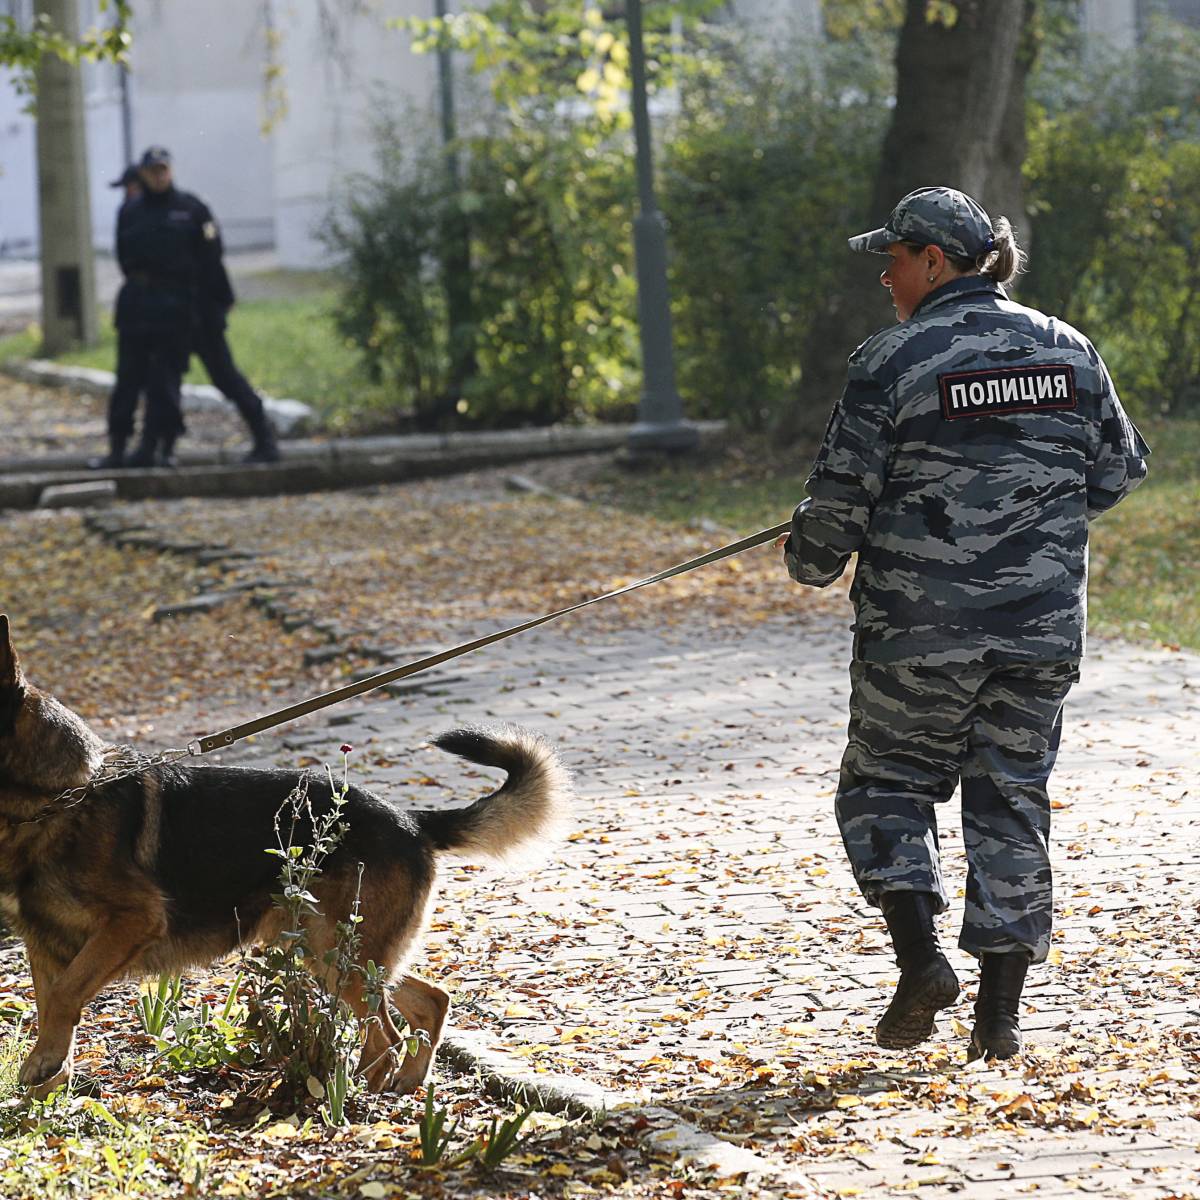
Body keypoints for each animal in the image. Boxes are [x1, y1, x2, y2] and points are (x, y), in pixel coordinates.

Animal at [0, 619, 568, 1099]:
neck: (57, 797)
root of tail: (410, 819)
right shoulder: (45, 942)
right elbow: (54, 1004)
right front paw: (49, 1087)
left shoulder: (130, 922)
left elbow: (64, 997)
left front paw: (42, 1071)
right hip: (342, 952)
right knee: (429, 1000)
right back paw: (402, 1086)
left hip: (336, 951)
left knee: (383, 1035)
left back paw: (354, 1100)